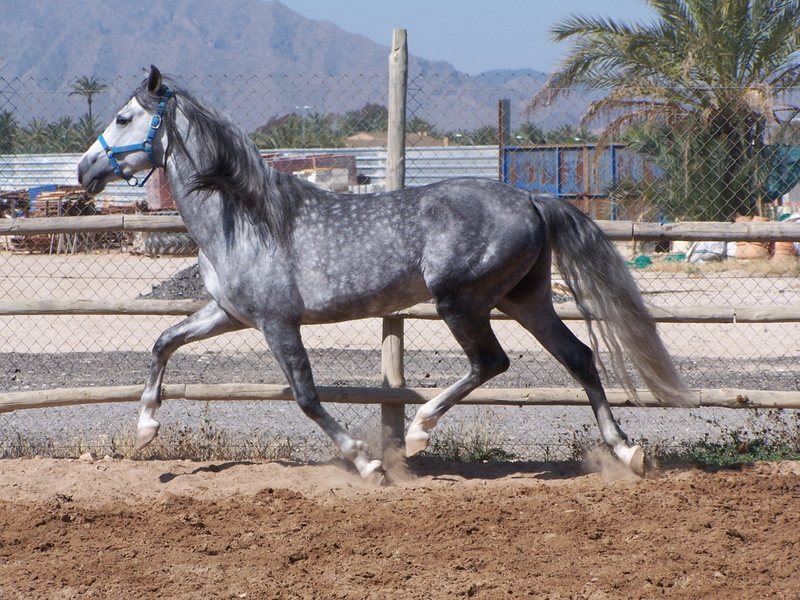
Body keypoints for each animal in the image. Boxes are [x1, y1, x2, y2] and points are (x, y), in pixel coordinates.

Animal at [77, 66, 692, 480]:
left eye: (124, 117)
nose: (84, 170)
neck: (244, 219)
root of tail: (532, 198)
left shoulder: (278, 323)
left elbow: (305, 396)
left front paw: (365, 464)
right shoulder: (229, 314)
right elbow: (163, 341)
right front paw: (146, 427)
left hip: (461, 301)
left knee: (491, 362)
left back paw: (418, 433)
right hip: (524, 298)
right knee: (578, 357)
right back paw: (628, 452)